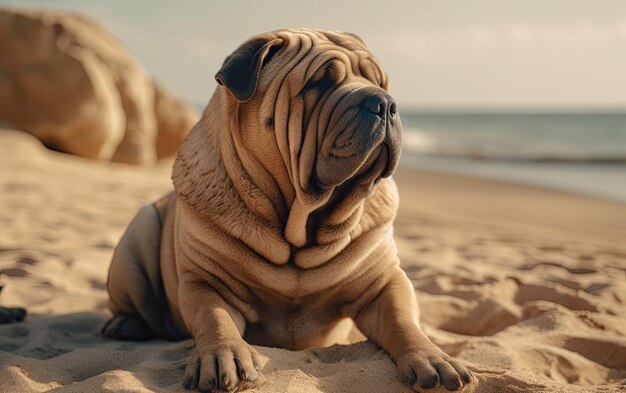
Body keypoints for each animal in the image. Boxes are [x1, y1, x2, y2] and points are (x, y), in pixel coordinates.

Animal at [103, 28, 468, 392]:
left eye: (381, 82)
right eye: (319, 83)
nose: (384, 102)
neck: (300, 224)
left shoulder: (383, 282)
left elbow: (402, 320)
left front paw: (432, 357)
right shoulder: (205, 282)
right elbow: (215, 318)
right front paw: (224, 356)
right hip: (141, 228)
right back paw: (125, 325)